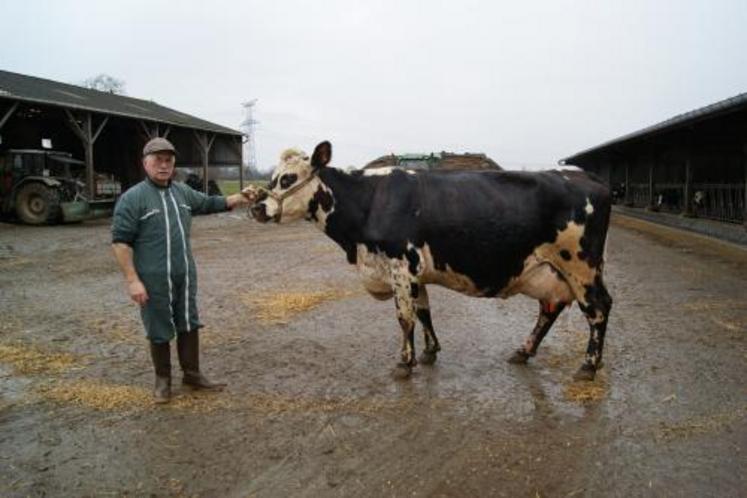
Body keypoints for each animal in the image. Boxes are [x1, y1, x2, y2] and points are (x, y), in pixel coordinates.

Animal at [251, 140, 612, 382]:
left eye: (288, 178)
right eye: (272, 178)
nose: (256, 208)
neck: (368, 201)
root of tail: (586, 177)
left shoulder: (400, 264)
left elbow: (405, 317)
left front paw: (404, 363)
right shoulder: (415, 271)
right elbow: (424, 311)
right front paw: (429, 352)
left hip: (580, 265)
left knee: (598, 308)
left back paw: (588, 366)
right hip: (552, 269)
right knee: (550, 308)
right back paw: (524, 352)